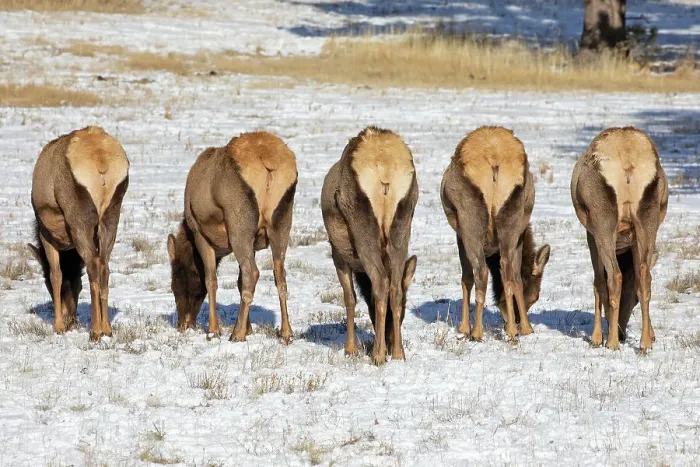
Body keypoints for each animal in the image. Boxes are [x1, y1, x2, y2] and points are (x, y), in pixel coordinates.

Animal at [28, 126, 129, 341]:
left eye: (45, 285)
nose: (70, 320)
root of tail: (101, 163)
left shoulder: (46, 233)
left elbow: (56, 274)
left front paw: (57, 326)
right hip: (111, 213)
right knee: (104, 265)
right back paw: (107, 328)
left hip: (79, 217)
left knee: (92, 264)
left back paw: (96, 330)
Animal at [167, 131, 297, 343]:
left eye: (174, 285)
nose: (183, 324)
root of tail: (268, 163)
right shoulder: (254, 242)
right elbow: (238, 281)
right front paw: (249, 328)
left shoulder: (200, 233)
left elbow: (210, 280)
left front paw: (213, 330)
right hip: (282, 222)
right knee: (279, 275)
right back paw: (286, 332)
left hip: (239, 224)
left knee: (253, 272)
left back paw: (237, 334)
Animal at [321, 126, 418, 365]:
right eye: (404, 313)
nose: (390, 341)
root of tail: (384, 167)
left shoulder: (338, 252)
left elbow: (350, 298)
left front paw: (350, 349)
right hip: (403, 221)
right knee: (394, 287)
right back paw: (398, 353)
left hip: (362, 224)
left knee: (381, 282)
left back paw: (379, 355)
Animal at [441, 126, 550, 342]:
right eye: (535, 297)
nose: (514, 320)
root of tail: (494, 161)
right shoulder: (519, 235)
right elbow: (517, 278)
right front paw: (526, 328)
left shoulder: (459, 235)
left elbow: (466, 278)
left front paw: (463, 328)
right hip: (512, 218)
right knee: (508, 271)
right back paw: (515, 333)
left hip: (469, 220)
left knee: (480, 273)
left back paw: (476, 332)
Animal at [571, 127, 668, 352]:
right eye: (633, 301)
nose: (623, 334)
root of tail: (628, 160)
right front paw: (652, 335)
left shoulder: (591, 234)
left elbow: (598, 282)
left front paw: (596, 338)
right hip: (647, 218)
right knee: (645, 277)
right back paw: (643, 344)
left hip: (603, 220)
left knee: (614, 276)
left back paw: (612, 343)